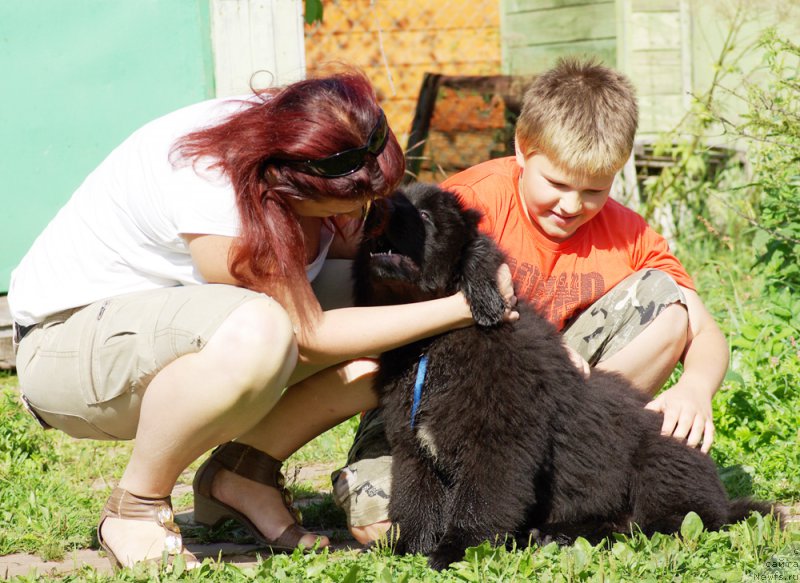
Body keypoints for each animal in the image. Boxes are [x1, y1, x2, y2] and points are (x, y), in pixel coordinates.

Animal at [354, 184, 776, 572]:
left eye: (425, 216)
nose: (378, 207)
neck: (433, 343)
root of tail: (720, 497)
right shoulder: (414, 450)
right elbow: (416, 502)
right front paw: (403, 549)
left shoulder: (496, 447)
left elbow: (477, 504)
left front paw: (453, 553)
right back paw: (548, 534)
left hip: (658, 470)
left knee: (657, 526)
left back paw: (555, 535)